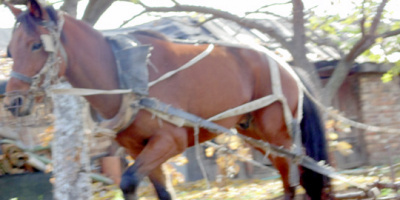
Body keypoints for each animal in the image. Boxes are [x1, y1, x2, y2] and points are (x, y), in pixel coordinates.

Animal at [6, 0, 330, 199]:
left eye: (35, 45)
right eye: (10, 50)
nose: (13, 103)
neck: (123, 74)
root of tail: (286, 65)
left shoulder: (168, 141)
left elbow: (128, 181)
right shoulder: (139, 149)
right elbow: (156, 190)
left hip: (278, 133)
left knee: (297, 175)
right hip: (255, 133)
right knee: (291, 174)